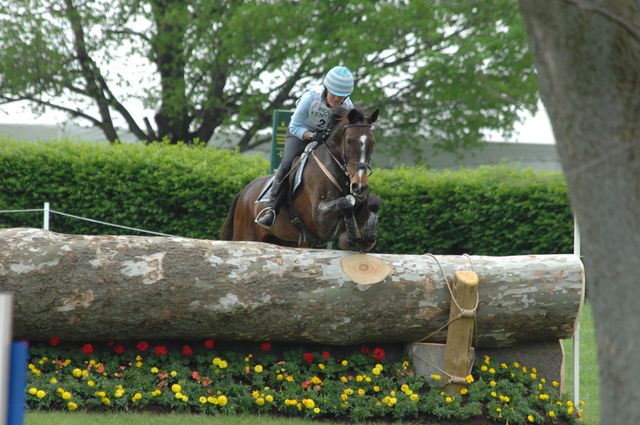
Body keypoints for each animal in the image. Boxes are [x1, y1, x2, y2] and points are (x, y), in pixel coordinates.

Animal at [220, 107, 380, 252]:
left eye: (372, 142)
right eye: (349, 141)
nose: (359, 186)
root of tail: (244, 192)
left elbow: (373, 202)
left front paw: (366, 235)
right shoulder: (320, 220)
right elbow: (345, 202)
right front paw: (351, 236)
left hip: (284, 240)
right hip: (246, 235)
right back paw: (267, 217)